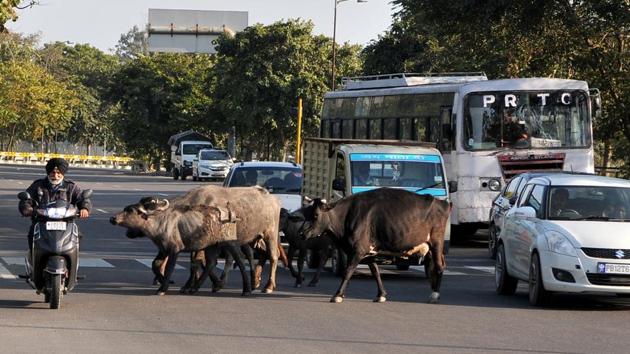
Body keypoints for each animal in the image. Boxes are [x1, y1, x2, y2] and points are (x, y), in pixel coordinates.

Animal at [304, 188, 452, 304]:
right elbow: (375, 272)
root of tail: (443, 203)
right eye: (306, 213)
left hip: (436, 241)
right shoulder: (368, 252)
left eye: (316, 215)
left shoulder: (357, 251)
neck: (346, 216)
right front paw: (381, 295)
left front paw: (338, 295)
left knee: (439, 266)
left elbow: (348, 271)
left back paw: (435, 294)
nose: (302, 233)